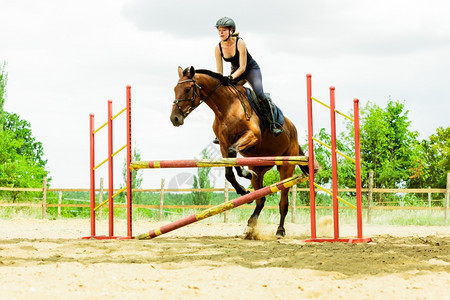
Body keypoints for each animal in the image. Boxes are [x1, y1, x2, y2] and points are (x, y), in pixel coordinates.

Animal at [171, 67, 316, 238]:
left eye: (187, 89)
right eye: (175, 89)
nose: (174, 118)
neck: (226, 107)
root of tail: (293, 130)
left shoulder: (252, 136)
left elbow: (234, 156)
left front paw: (245, 175)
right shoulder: (223, 144)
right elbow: (229, 171)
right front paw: (242, 190)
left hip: (286, 167)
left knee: (283, 202)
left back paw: (280, 230)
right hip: (259, 167)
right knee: (260, 199)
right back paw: (250, 225)